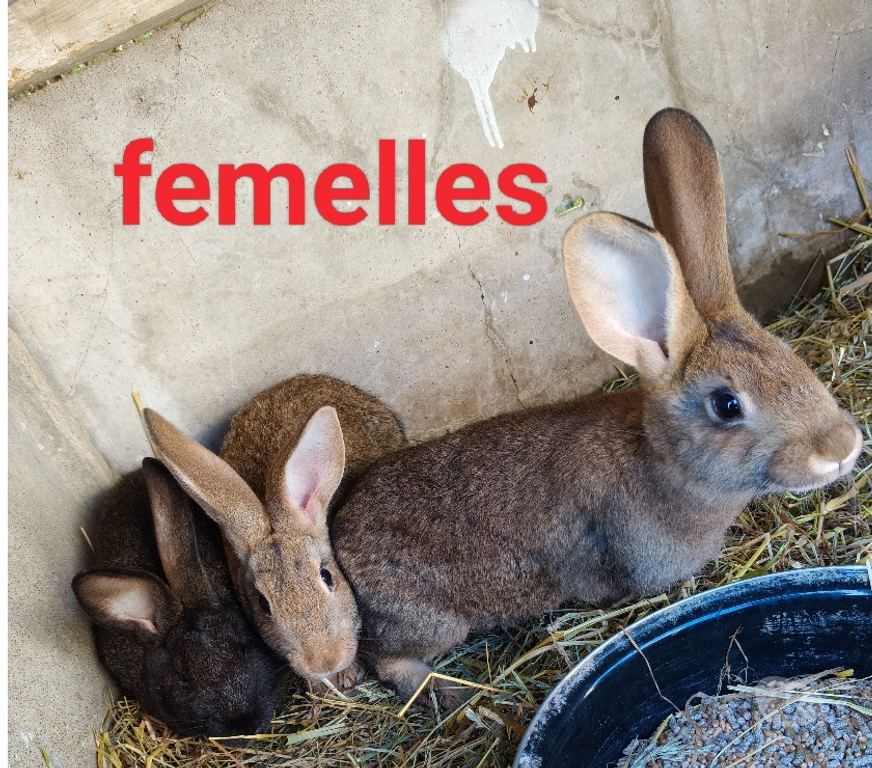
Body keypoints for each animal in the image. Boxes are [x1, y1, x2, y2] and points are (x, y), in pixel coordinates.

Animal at [326, 108, 864, 708]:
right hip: (433, 620)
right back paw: (449, 693)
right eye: (727, 405)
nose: (842, 447)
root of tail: (339, 534)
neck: (663, 460)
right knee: (389, 657)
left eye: (790, 358)